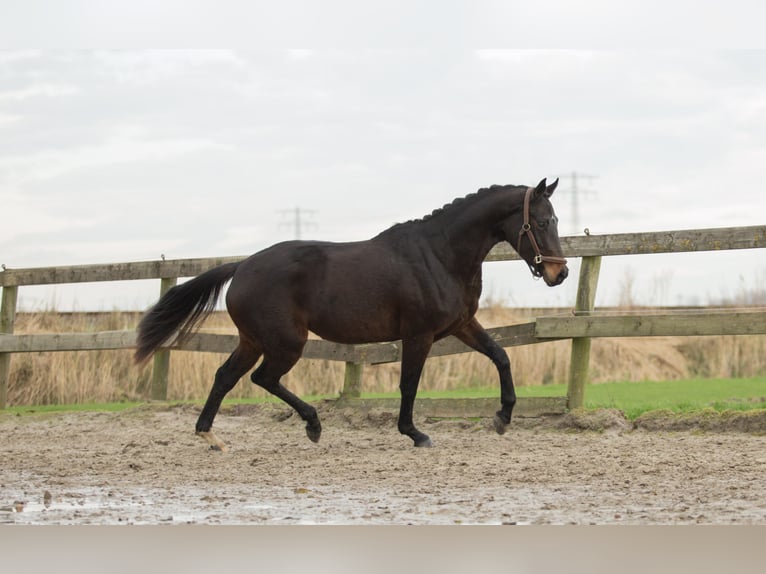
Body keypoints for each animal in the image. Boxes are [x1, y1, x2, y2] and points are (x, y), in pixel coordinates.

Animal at [135, 178, 568, 452]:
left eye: (556, 219)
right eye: (541, 221)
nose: (558, 274)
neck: (439, 254)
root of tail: (241, 267)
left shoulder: (461, 325)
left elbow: (501, 356)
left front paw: (503, 417)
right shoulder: (419, 334)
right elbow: (409, 384)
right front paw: (415, 434)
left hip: (254, 340)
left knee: (226, 376)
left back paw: (211, 437)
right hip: (286, 342)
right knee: (262, 378)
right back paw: (312, 425)